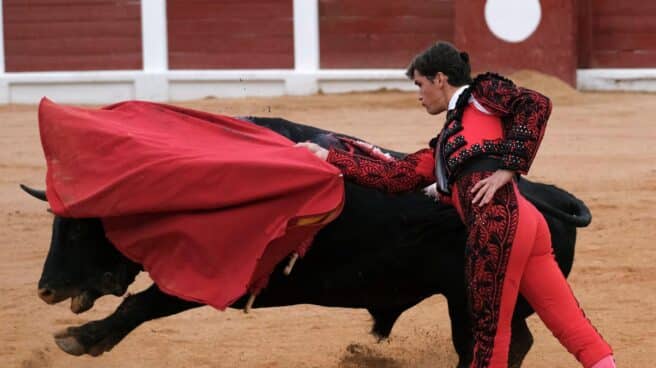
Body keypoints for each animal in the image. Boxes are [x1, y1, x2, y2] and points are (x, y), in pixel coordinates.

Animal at [23, 116, 592, 366]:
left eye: (81, 225)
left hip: (478, 298)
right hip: (476, 300)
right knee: (512, 341)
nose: (45, 290)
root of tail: (550, 196)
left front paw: (82, 339)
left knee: (498, 342)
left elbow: (142, 303)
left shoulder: (214, 275)